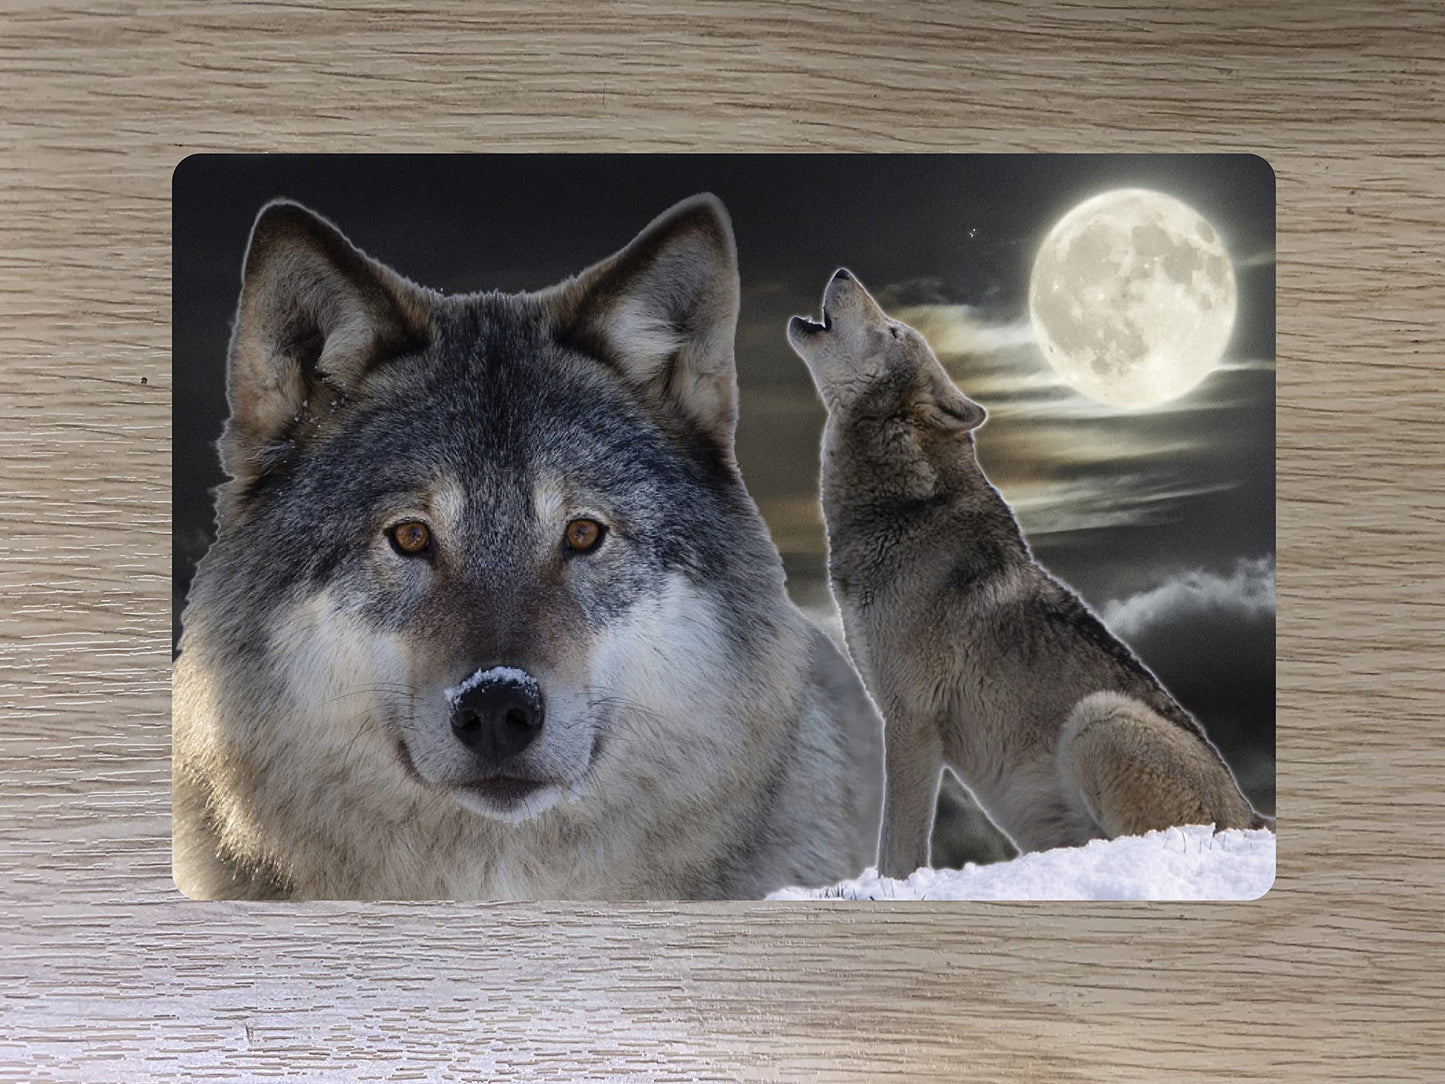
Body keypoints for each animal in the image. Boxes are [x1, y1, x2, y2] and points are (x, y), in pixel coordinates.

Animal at [788, 269, 1270, 879]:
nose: (843, 273)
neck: (904, 509)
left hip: (1097, 718)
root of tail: (1252, 813)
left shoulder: (912, 718)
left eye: (894, 331)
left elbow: (897, 847)